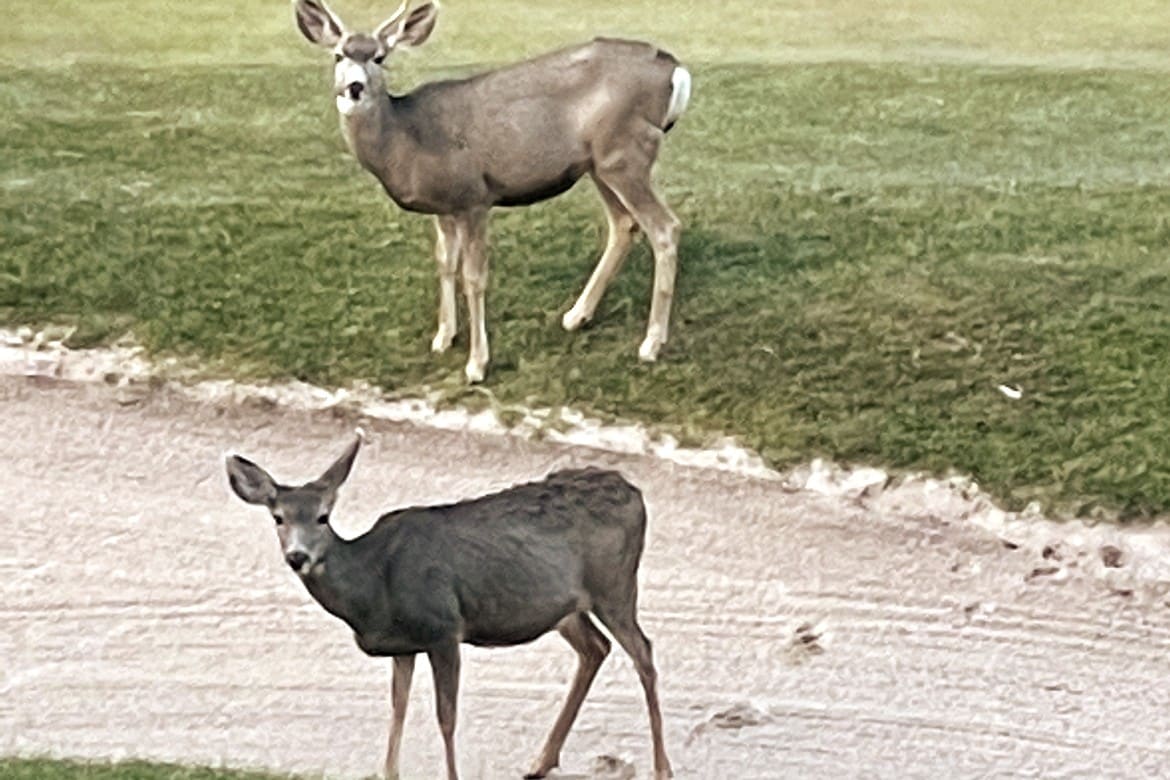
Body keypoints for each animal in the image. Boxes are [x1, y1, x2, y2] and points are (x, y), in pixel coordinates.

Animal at [223, 437, 673, 776]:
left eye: (322, 516)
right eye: (278, 517)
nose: (297, 557)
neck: (374, 587)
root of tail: (635, 493)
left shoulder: (443, 628)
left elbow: (446, 716)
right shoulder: (404, 645)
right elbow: (398, 707)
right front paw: (389, 772)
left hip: (615, 585)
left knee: (644, 652)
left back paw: (661, 767)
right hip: (567, 607)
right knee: (595, 647)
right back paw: (540, 761)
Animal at [294, 0, 692, 383]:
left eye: (379, 57)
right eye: (338, 55)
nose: (354, 88)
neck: (406, 142)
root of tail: (675, 69)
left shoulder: (474, 197)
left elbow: (473, 277)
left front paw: (476, 364)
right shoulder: (444, 206)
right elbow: (444, 263)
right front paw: (443, 337)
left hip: (626, 152)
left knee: (665, 227)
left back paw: (651, 343)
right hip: (599, 164)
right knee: (625, 224)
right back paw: (576, 316)